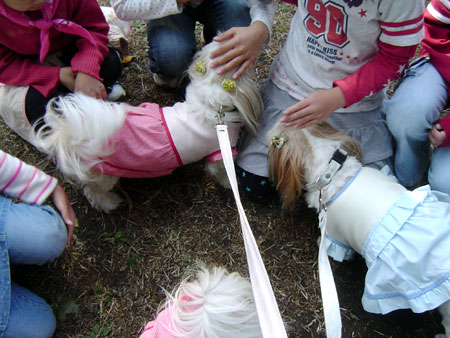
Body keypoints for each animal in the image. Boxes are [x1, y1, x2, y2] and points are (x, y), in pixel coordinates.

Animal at [30, 41, 264, 213]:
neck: (213, 106)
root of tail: (69, 134)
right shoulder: (219, 152)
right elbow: (221, 171)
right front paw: (230, 183)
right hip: (105, 175)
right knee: (93, 193)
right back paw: (110, 203)